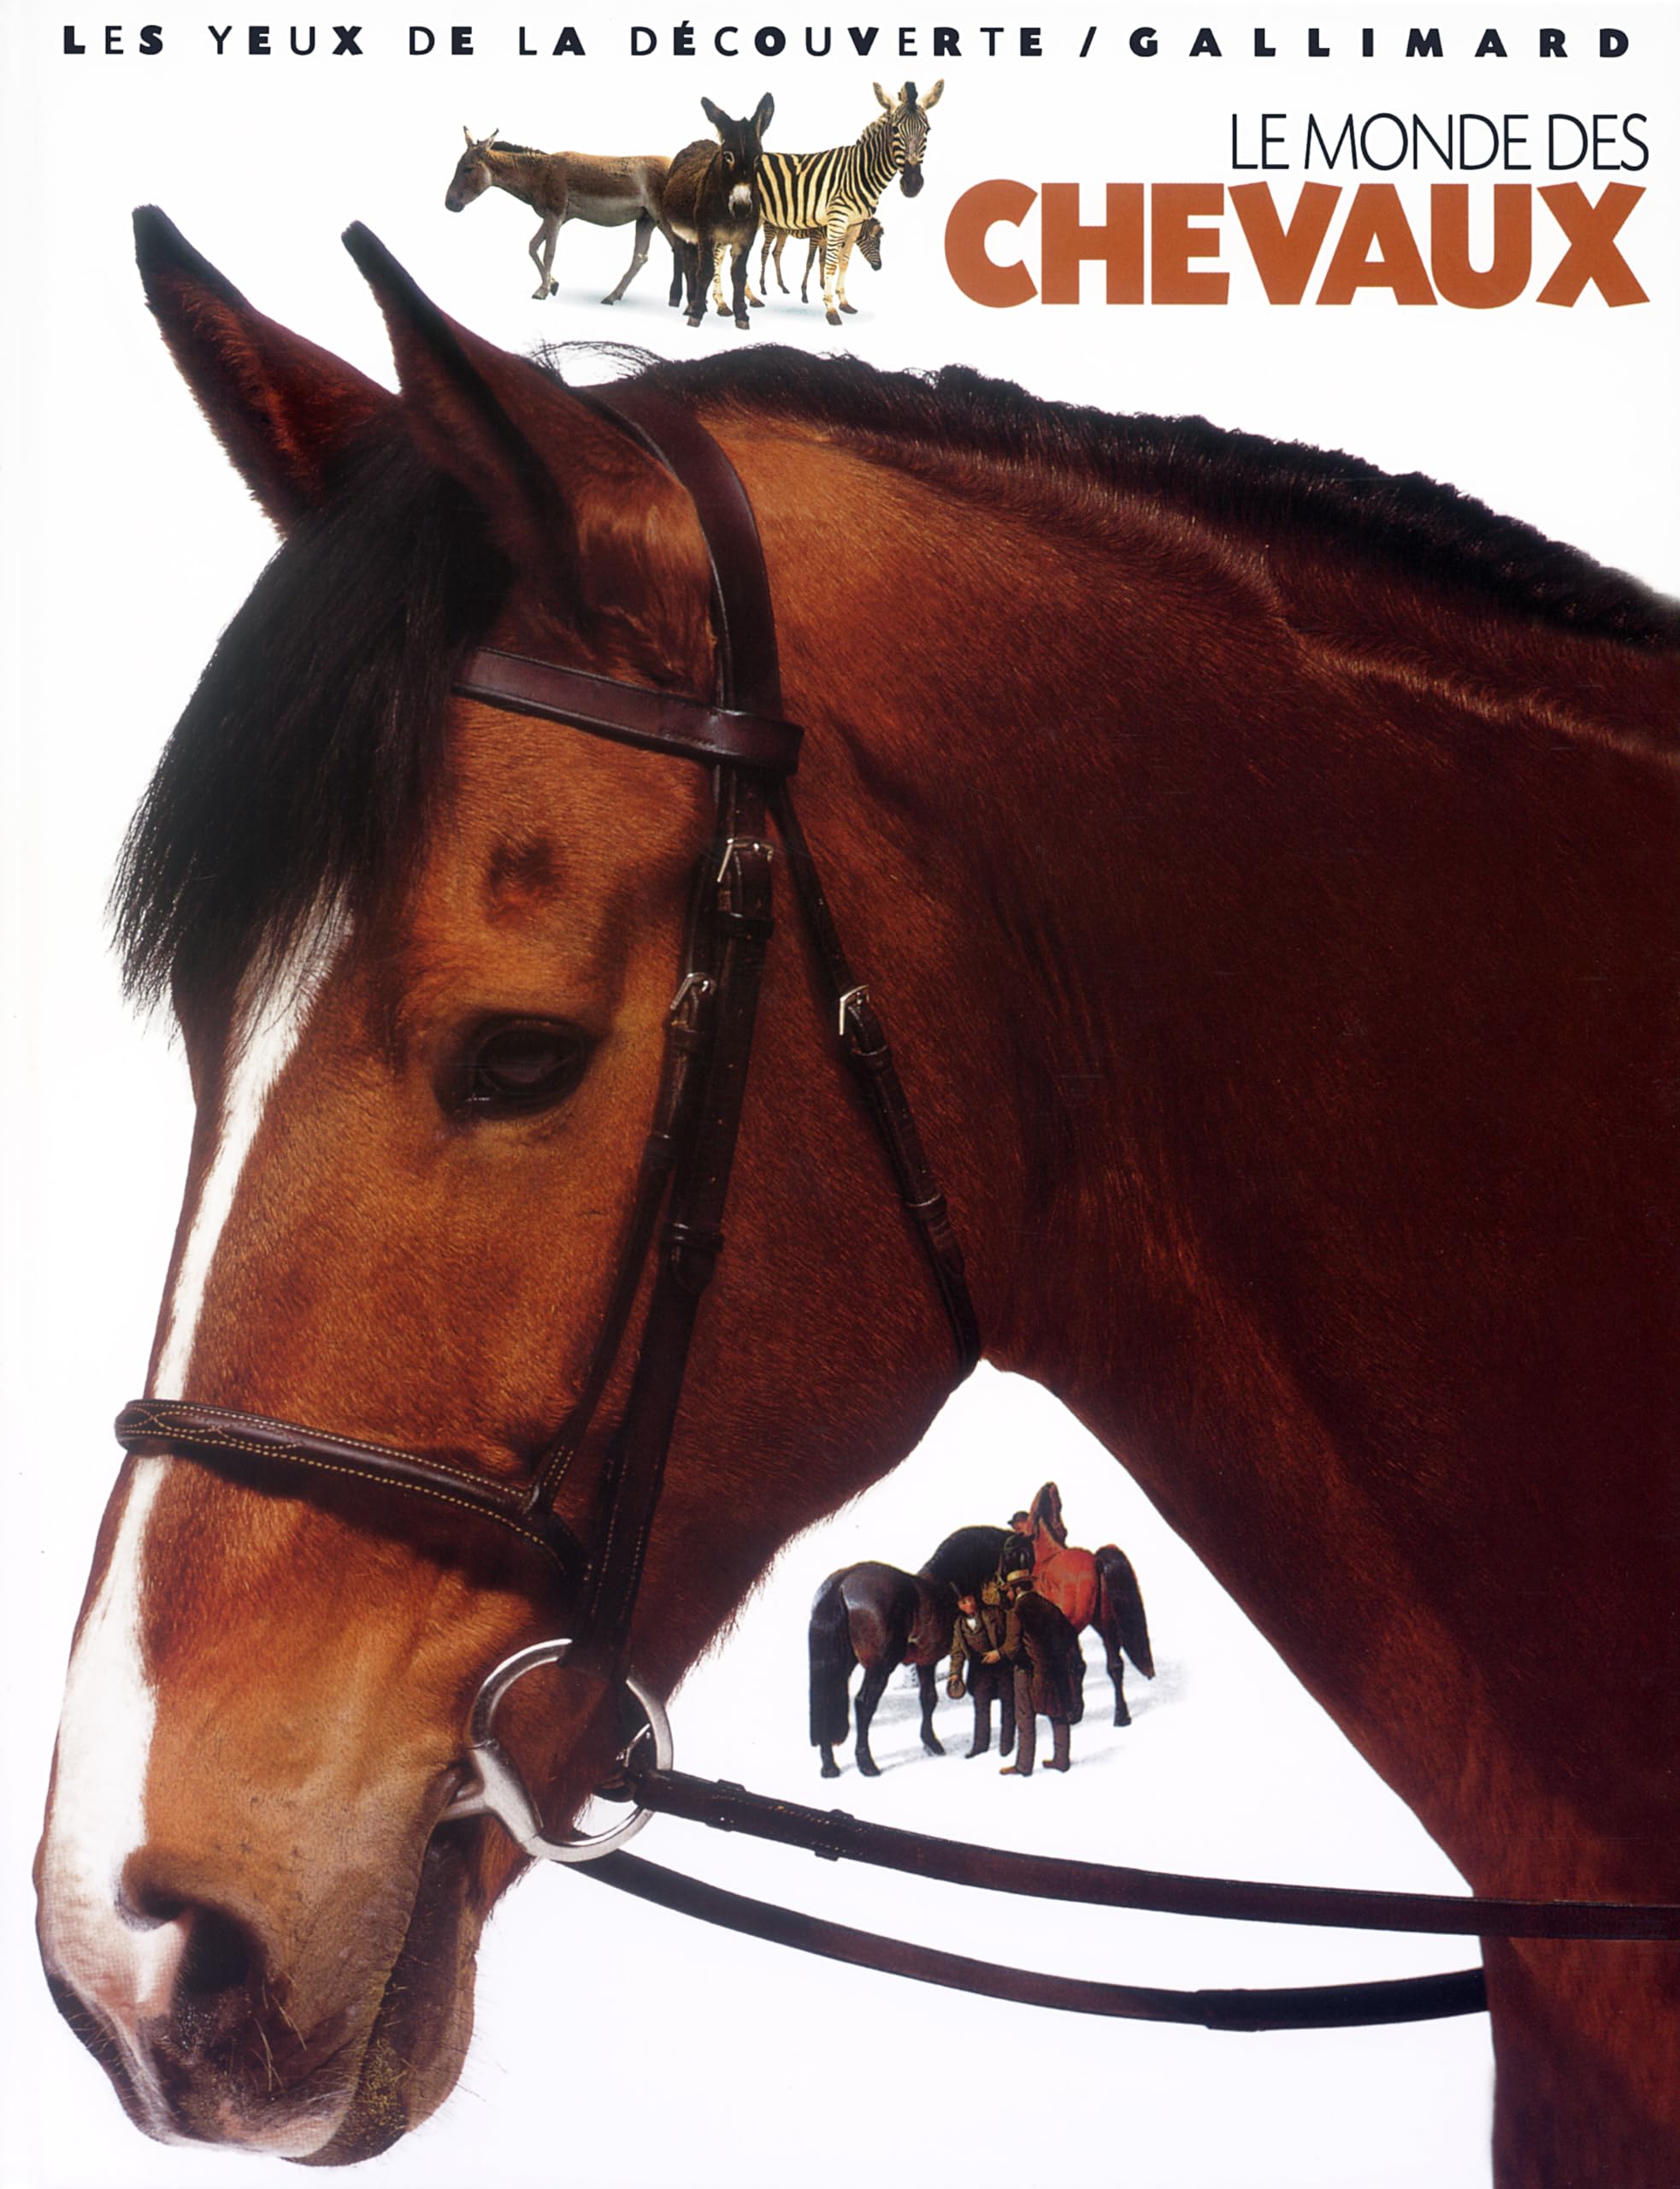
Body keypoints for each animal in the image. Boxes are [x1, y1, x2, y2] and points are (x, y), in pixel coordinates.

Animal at [444, 129, 674, 305]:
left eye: (468, 169)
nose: (448, 204)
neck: (540, 173)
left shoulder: (555, 215)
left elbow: (549, 252)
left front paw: (542, 291)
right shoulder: (552, 216)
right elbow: (532, 246)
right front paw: (553, 285)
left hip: (664, 220)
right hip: (646, 220)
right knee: (640, 258)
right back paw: (612, 297)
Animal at [663, 96, 773, 330]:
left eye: (757, 158)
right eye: (727, 156)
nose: (742, 207)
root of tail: (698, 142)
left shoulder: (745, 239)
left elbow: (739, 275)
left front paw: (741, 315)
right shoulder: (707, 235)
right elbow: (704, 271)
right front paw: (695, 315)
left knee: (690, 264)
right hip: (681, 232)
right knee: (681, 259)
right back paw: (682, 300)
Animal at [808, 1560, 955, 1776]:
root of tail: (842, 1583)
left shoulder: (924, 1661)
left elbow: (927, 1698)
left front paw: (930, 1743)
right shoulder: (929, 1661)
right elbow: (931, 1698)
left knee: (827, 1703)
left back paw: (829, 1766)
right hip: (880, 1668)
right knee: (864, 1704)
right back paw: (866, 1763)